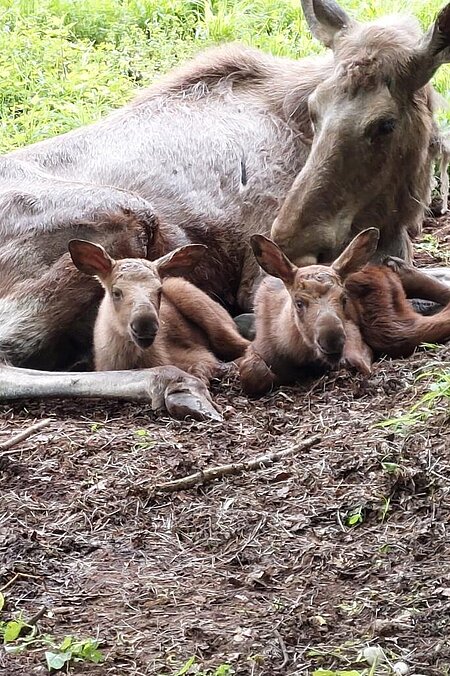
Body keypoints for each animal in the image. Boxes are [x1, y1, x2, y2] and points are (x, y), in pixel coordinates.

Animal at [237, 230, 378, 396]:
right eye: (299, 303)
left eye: (344, 299)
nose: (332, 341)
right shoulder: (256, 348)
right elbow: (254, 373)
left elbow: (363, 363)